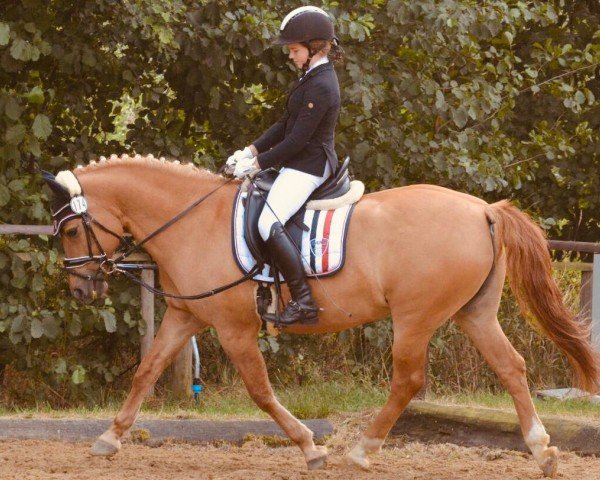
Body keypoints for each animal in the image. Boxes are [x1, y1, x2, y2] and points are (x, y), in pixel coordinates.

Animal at [43, 154, 600, 476]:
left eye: (70, 230)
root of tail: (483, 209)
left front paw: (310, 446)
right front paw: (108, 439)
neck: (191, 221)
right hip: (473, 314)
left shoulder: (234, 327)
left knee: (408, 380)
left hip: (415, 317)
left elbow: (260, 391)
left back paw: (362, 450)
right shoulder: (185, 317)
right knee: (511, 367)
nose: (81, 289)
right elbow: (145, 372)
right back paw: (542, 450)